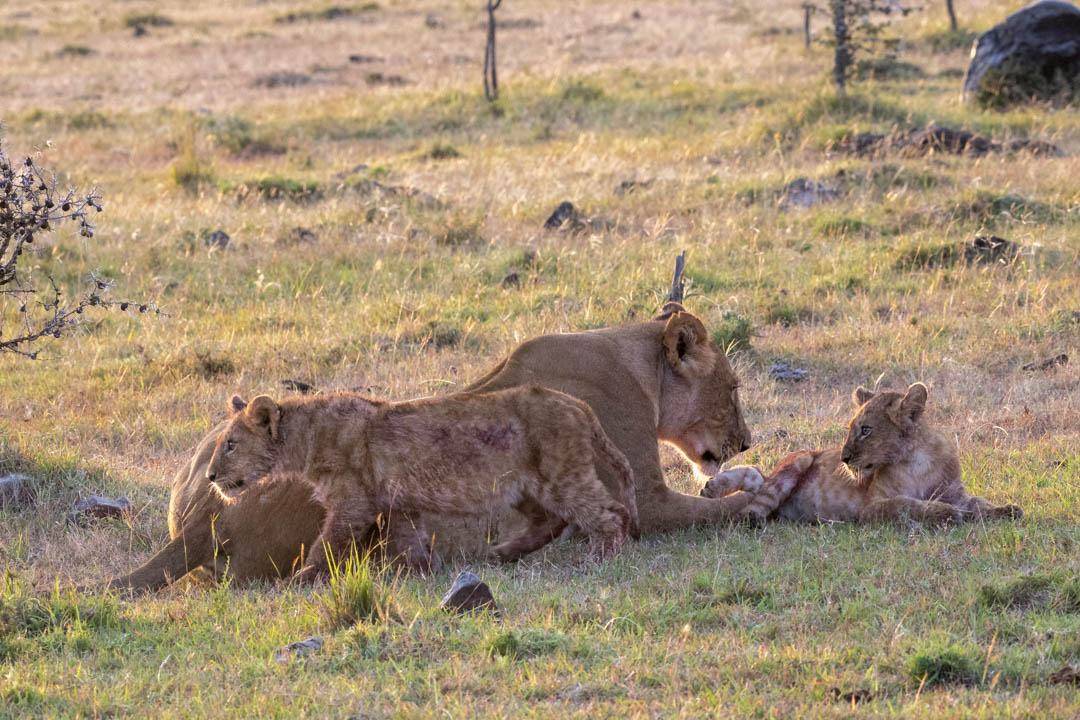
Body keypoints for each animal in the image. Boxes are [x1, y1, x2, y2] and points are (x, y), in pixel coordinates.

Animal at [205, 385, 640, 579]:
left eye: (231, 444)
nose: (209, 476)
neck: (305, 437)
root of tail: (578, 404)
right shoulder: (400, 501)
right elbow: (408, 538)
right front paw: (420, 571)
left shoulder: (353, 502)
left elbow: (327, 543)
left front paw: (301, 579)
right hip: (522, 485)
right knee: (552, 520)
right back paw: (504, 553)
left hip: (562, 474)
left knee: (610, 513)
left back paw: (598, 560)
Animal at [701, 383, 1022, 524]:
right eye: (852, 428)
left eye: (866, 429)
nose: (843, 458)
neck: (918, 460)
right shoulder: (872, 506)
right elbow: (909, 505)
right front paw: (948, 514)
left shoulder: (955, 491)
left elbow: (978, 502)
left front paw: (1005, 510)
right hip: (800, 460)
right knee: (757, 499)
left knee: (757, 481)